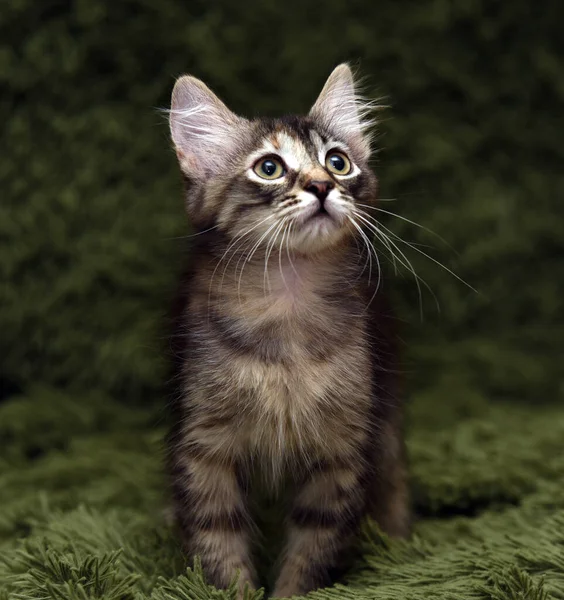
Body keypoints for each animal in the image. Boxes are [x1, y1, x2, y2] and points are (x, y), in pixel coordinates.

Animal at [166, 63, 410, 596]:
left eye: (338, 162)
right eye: (269, 168)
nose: (322, 186)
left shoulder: (344, 450)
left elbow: (312, 548)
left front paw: (290, 591)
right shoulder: (204, 447)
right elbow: (217, 540)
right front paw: (235, 591)